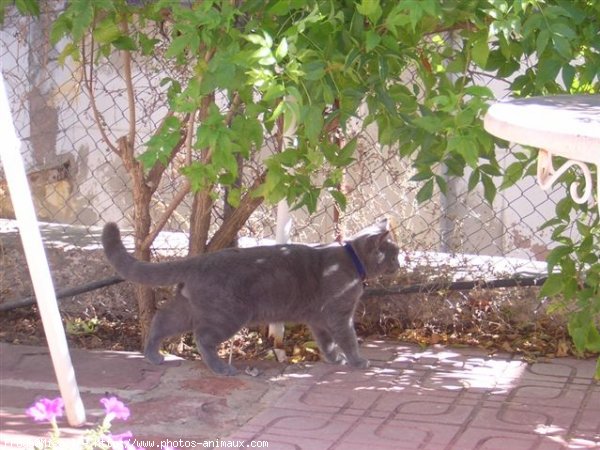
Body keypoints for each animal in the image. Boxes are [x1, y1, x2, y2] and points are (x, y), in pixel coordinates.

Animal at [102, 220, 398, 374]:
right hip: (229, 314)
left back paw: (153, 355)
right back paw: (222, 368)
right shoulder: (339, 314)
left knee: (161, 320)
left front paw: (335, 359)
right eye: (393, 252)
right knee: (203, 337)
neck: (352, 261)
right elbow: (348, 339)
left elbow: (327, 343)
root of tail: (199, 260)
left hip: (188, 307)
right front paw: (358, 361)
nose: (401, 260)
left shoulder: (318, 320)